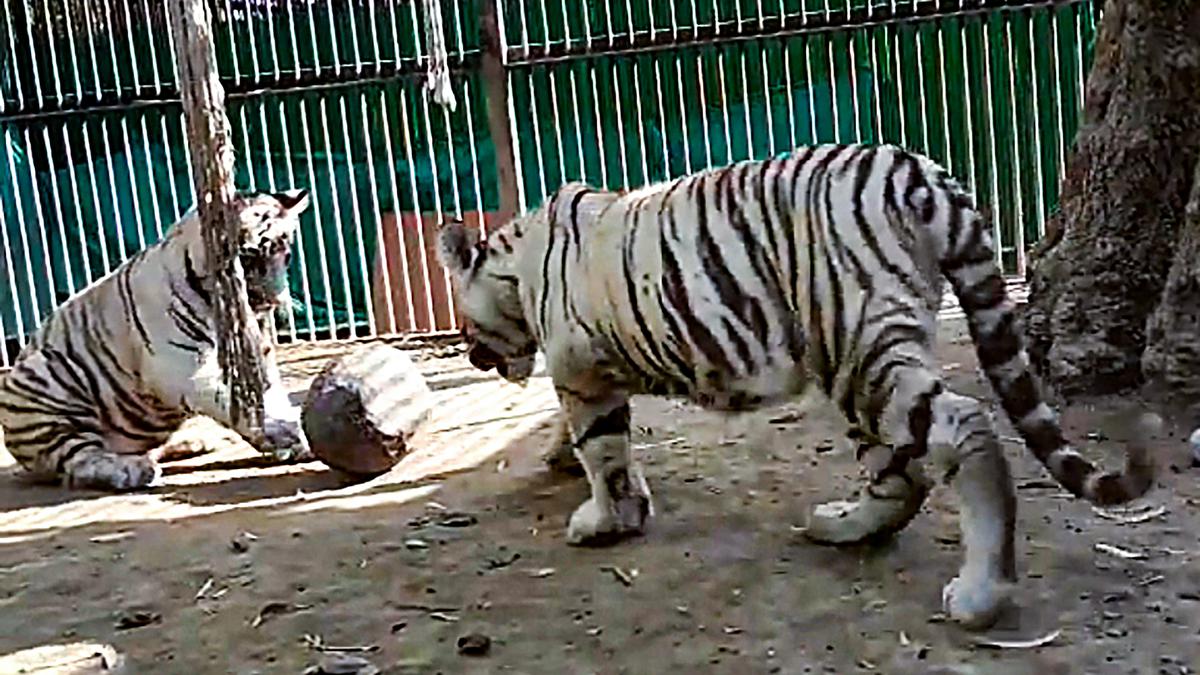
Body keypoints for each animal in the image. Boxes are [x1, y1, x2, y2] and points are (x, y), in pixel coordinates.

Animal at [0, 187, 314, 487]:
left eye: (286, 255)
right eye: (248, 256)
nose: (275, 299)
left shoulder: (258, 352)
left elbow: (270, 394)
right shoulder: (181, 366)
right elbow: (236, 402)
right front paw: (285, 431)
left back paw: (199, 442)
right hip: (44, 381)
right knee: (79, 459)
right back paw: (131, 470)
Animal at [441, 144, 1161, 629]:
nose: (472, 356)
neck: (515, 262)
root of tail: (916, 170)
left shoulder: (579, 371)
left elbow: (603, 451)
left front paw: (604, 519)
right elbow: (596, 444)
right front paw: (585, 480)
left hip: (860, 342)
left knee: (964, 428)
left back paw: (982, 592)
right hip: (853, 357)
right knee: (899, 471)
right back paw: (843, 527)